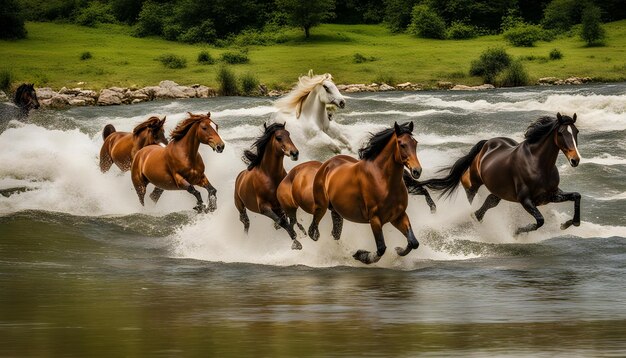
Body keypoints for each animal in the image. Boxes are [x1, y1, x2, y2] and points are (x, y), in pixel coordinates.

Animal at [234, 121, 302, 250]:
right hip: (240, 206)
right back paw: (245, 241)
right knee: (245, 222)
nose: (295, 153)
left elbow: (288, 219)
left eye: (289, 134)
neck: (271, 176)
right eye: (278, 137)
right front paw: (296, 242)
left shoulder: (281, 204)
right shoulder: (263, 207)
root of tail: (240, 176)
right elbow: (281, 222)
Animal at [308, 121, 424, 264]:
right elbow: (381, 248)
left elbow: (413, 242)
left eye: (415, 143)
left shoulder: (398, 216)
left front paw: (398, 250)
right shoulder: (375, 219)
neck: (383, 180)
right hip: (321, 207)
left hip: (336, 211)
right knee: (313, 231)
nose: (417, 171)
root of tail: (327, 165)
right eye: (402, 144)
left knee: (335, 233)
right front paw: (360, 255)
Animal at [416, 112, 584, 235]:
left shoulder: (551, 195)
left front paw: (568, 224)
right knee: (471, 200)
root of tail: (486, 143)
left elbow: (576, 196)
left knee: (486, 205)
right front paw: (517, 232)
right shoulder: (525, 200)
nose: (575, 160)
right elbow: (540, 220)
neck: (538, 165)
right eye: (561, 133)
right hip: (473, 185)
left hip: (498, 192)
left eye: (576, 131)